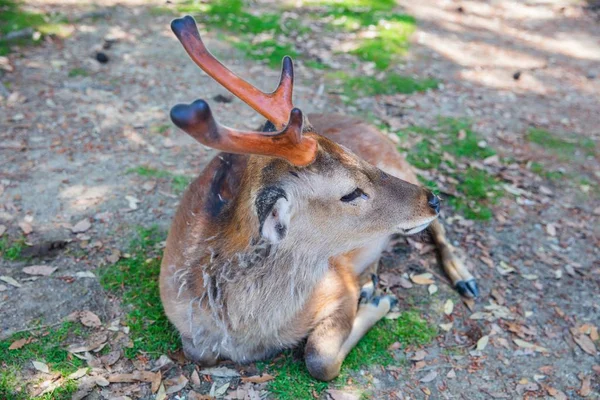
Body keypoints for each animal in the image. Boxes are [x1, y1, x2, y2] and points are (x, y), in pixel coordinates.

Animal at [159, 15, 478, 382]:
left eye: (351, 155)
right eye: (350, 192)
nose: (432, 200)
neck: (246, 333)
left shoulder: (337, 282)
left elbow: (320, 358)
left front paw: (380, 302)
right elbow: (198, 352)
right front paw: (374, 295)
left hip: (403, 166)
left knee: (438, 228)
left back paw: (464, 279)